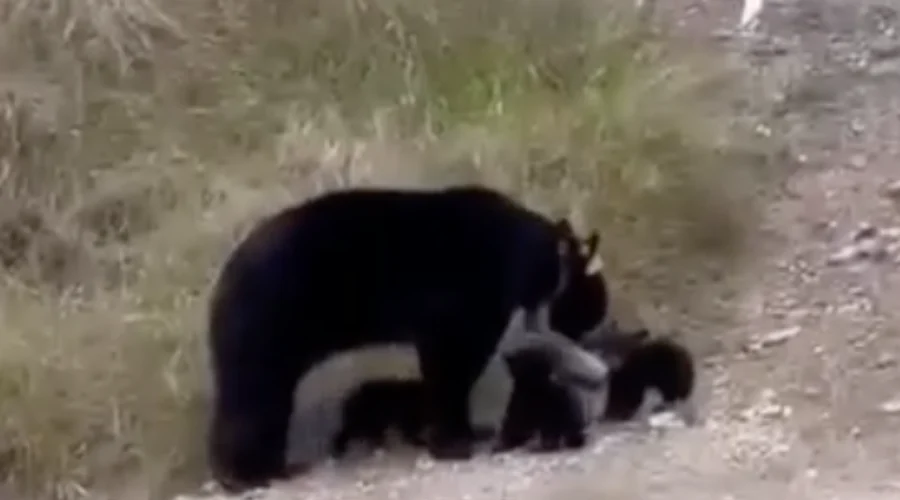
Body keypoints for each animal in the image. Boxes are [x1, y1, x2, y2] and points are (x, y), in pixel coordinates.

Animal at [205, 185, 611, 492]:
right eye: (589, 304)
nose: (585, 334)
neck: (523, 252)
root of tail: (222, 282)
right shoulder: (466, 296)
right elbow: (452, 361)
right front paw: (453, 439)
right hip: (270, 322)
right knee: (254, 393)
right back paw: (249, 474)